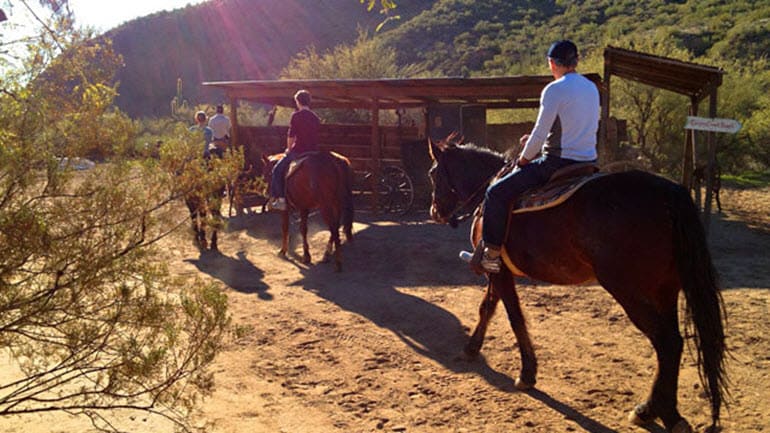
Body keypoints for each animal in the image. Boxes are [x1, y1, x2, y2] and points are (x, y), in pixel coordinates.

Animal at [426, 138, 728, 432]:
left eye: (432, 173)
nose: (434, 211)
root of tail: (668, 192)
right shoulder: (499, 273)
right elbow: (487, 308)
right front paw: (472, 348)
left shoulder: (498, 271)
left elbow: (513, 317)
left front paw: (527, 373)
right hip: (665, 289)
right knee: (674, 343)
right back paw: (659, 411)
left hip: (629, 291)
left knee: (665, 342)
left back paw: (656, 411)